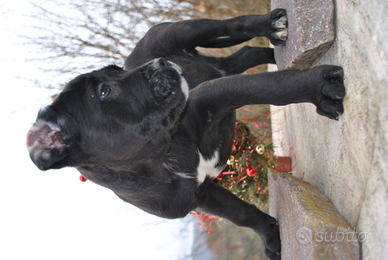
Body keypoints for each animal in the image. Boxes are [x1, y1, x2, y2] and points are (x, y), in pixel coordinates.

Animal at [26, 8, 346, 260]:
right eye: (104, 92)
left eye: (116, 70)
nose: (159, 63)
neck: (163, 154)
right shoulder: (202, 196)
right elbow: (240, 213)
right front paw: (268, 234)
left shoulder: (214, 95)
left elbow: (275, 88)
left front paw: (318, 90)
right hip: (218, 66)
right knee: (245, 54)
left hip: (181, 32)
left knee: (231, 26)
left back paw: (271, 26)